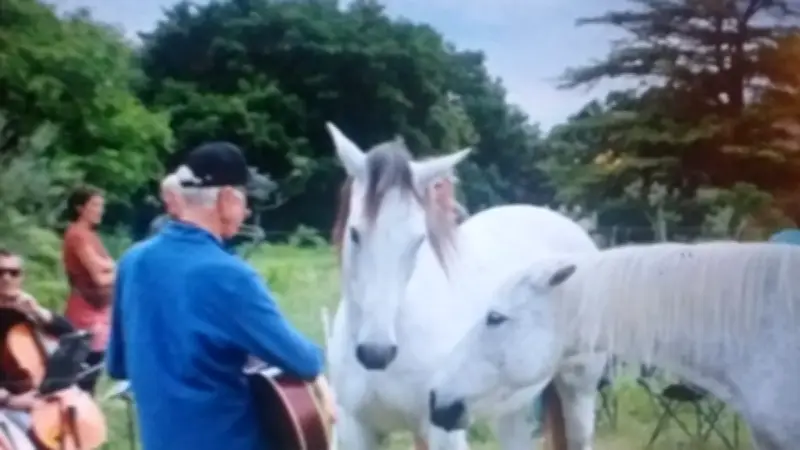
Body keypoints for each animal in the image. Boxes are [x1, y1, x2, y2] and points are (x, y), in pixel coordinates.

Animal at [324, 122, 607, 450]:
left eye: (418, 240)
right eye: (355, 233)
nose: (376, 352)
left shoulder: (442, 428)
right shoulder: (356, 429)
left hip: (578, 388)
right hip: (514, 406)